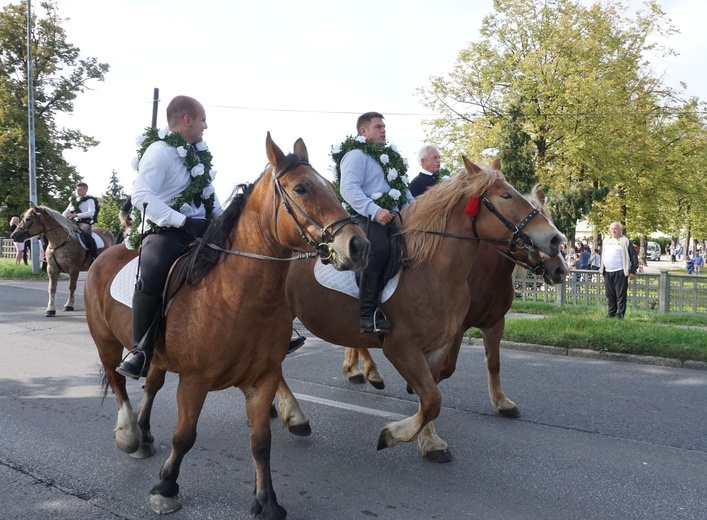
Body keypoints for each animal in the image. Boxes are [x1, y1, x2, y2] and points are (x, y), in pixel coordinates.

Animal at [85, 135, 368, 520]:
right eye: (301, 188)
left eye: (328, 184)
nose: (357, 245)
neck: (237, 298)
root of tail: (106, 253)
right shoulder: (194, 382)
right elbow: (184, 436)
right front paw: (166, 488)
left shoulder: (262, 379)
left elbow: (261, 442)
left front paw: (267, 501)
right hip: (105, 341)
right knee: (118, 380)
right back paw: (129, 433)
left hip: (156, 355)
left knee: (152, 384)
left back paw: (143, 433)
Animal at [278, 157, 564, 460]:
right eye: (506, 195)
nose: (556, 241)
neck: (432, 271)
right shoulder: (401, 347)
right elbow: (432, 396)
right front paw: (393, 434)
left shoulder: (448, 340)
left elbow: (434, 393)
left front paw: (430, 442)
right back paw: (297, 416)